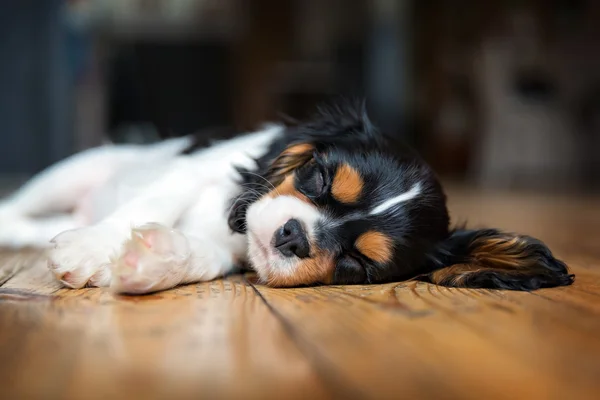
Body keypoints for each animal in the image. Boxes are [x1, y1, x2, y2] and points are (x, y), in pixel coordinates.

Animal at [0, 100, 576, 294]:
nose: (293, 236)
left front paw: (152, 261)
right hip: (73, 171)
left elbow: (199, 256)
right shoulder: (195, 168)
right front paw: (90, 249)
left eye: (358, 263)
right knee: (16, 209)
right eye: (318, 179)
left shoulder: (226, 253)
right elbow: (151, 202)